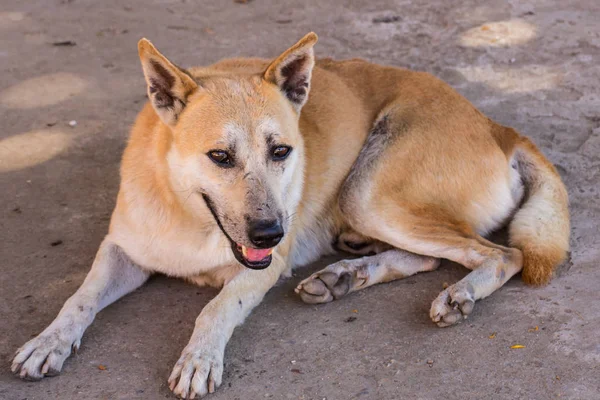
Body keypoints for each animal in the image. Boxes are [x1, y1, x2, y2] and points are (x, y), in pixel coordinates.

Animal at [11, 32, 568, 398]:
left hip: (367, 192)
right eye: (220, 157)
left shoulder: (262, 268)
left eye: (281, 151)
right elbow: (80, 298)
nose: (271, 233)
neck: (189, 217)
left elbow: (217, 307)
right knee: (432, 257)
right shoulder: (122, 249)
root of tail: (499, 127)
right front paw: (47, 342)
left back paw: (459, 293)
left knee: (502, 253)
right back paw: (344, 274)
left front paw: (199, 357)